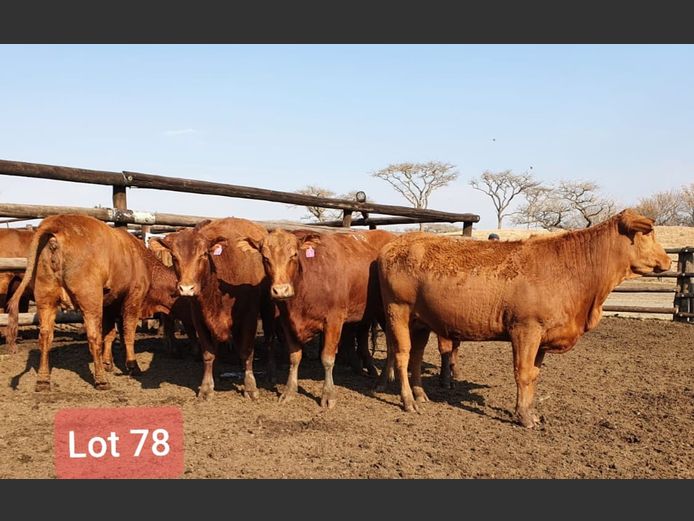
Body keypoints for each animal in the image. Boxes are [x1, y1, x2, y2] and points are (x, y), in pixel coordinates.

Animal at [6, 213, 153, 388]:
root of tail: (57, 222)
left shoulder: (109, 303)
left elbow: (110, 333)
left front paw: (108, 363)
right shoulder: (134, 296)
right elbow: (127, 333)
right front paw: (132, 366)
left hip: (45, 297)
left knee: (45, 336)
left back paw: (43, 380)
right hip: (90, 299)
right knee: (93, 337)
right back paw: (101, 380)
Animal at [237, 230, 396, 408]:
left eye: (294, 255)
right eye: (265, 258)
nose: (281, 290)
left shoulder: (334, 320)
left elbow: (327, 358)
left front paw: (328, 395)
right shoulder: (287, 322)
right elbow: (294, 357)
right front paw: (289, 391)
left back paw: (382, 381)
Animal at [380, 209, 676, 428]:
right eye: (648, 233)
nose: (667, 260)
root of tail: (396, 244)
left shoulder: (542, 338)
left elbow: (534, 375)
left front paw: (530, 412)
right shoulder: (526, 329)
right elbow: (522, 373)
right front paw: (523, 417)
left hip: (421, 322)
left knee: (416, 356)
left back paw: (421, 394)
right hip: (398, 311)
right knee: (403, 355)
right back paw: (408, 401)